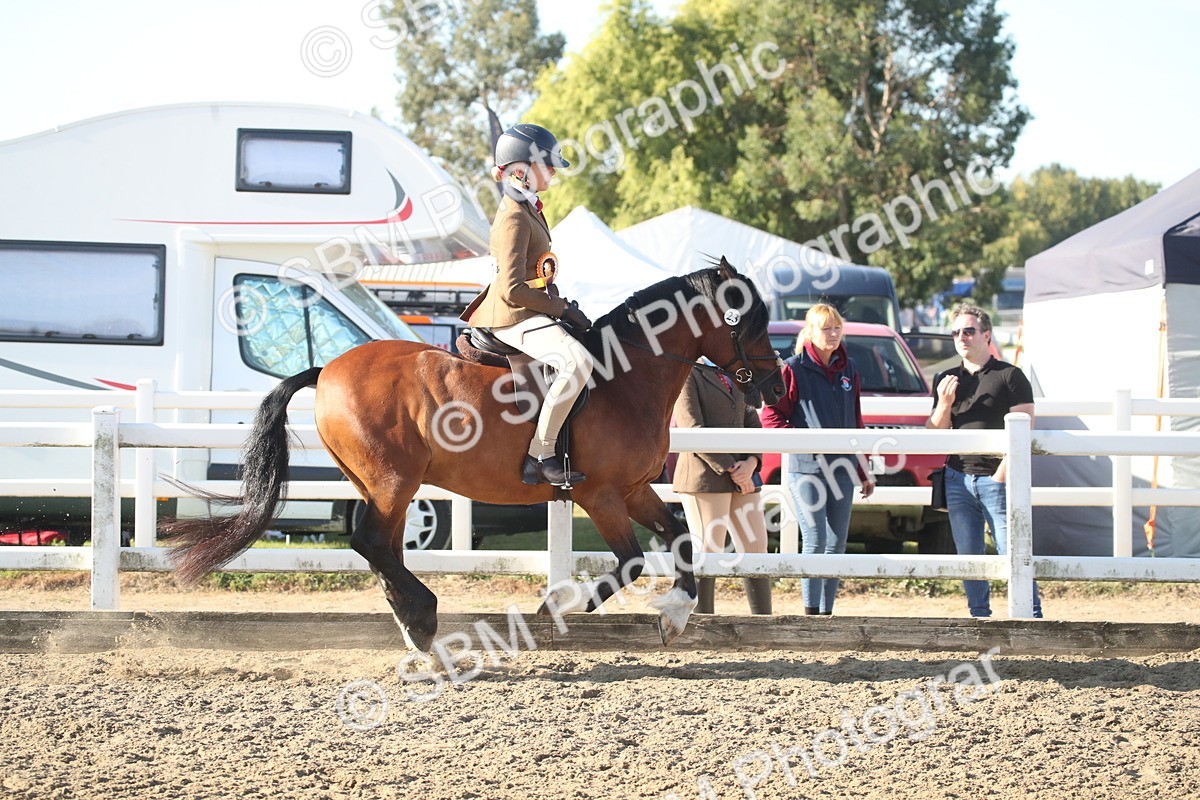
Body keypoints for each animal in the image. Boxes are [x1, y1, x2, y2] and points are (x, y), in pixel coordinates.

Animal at [165, 258, 784, 648]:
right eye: (748, 321)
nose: (775, 387)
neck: (625, 375)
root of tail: (329, 367)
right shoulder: (601, 495)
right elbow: (631, 561)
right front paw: (558, 606)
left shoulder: (633, 491)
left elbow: (680, 537)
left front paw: (675, 617)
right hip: (393, 481)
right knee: (371, 543)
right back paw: (423, 620)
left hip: (382, 485)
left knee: (381, 548)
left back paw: (413, 625)